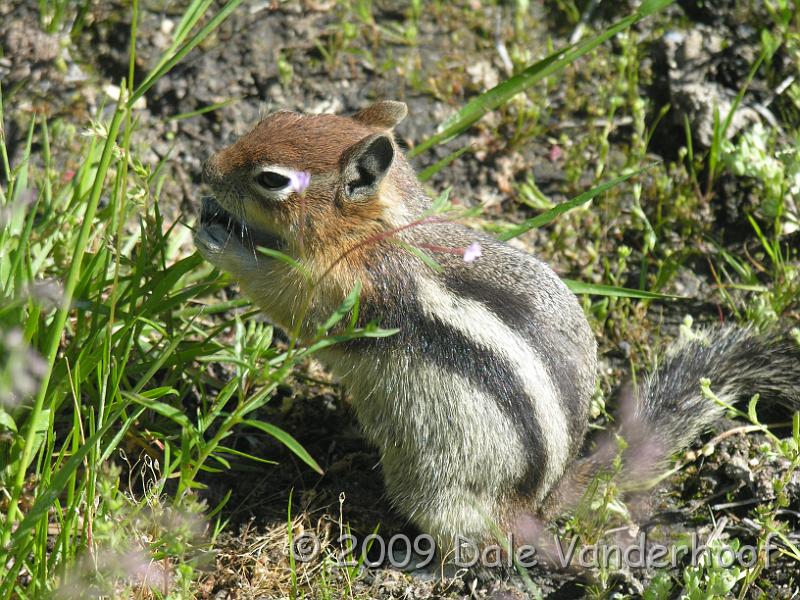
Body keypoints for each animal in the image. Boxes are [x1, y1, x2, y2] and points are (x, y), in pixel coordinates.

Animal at [194, 100, 800, 553]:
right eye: (274, 116)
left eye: (271, 180)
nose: (205, 169)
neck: (378, 230)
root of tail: (540, 502)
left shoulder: (349, 290)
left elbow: (288, 300)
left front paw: (220, 241)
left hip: (435, 489)